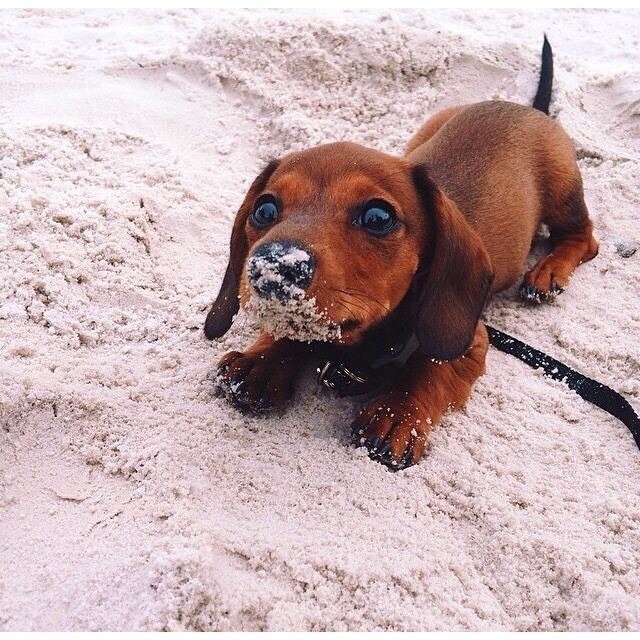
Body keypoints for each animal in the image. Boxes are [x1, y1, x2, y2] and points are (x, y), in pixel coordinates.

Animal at [206, 40, 600, 470]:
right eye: (264, 209)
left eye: (378, 217)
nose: (273, 266)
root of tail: (529, 109)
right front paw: (262, 362)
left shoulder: (470, 339)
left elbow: (429, 367)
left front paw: (397, 415)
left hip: (562, 189)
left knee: (585, 237)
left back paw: (548, 271)